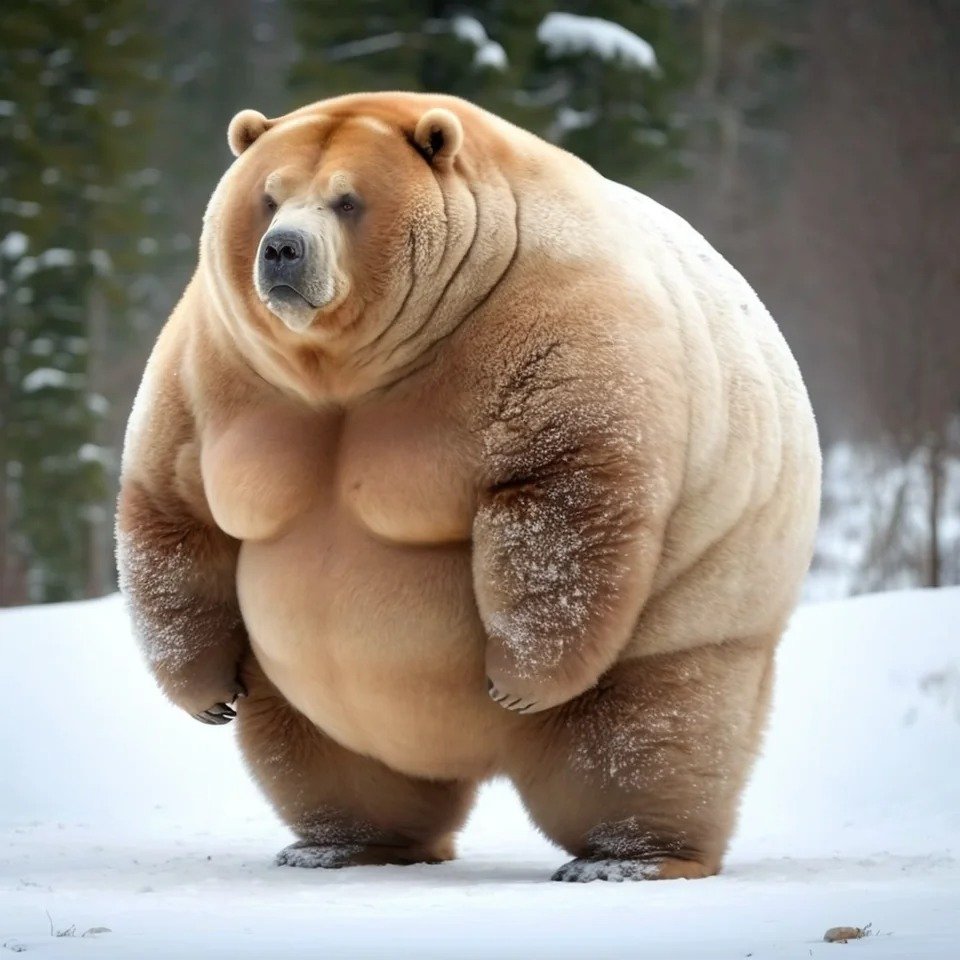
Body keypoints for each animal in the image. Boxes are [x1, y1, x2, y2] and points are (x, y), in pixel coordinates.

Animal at [116, 92, 821, 882]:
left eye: (347, 200)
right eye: (268, 196)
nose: (282, 250)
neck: (355, 367)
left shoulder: (548, 321)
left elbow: (561, 496)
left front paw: (515, 678)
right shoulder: (221, 359)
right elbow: (175, 502)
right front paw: (207, 695)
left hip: (706, 596)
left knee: (647, 734)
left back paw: (628, 857)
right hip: (302, 685)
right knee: (322, 755)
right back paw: (341, 843)